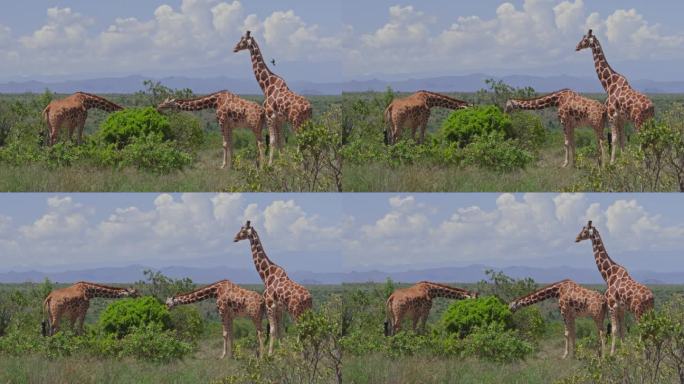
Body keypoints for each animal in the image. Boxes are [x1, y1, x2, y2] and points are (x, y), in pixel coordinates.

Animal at [232, 29, 312, 163]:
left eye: (242, 40)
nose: (234, 48)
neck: (267, 86)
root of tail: (310, 108)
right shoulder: (279, 119)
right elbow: (281, 142)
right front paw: (283, 163)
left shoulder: (269, 117)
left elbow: (273, 141)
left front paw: (270, 165)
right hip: (306, 121)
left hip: (296, 121)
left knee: (301, 141)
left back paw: (300, 163)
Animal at [232, 220, 312, 356]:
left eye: (242, 230)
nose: (234, 238)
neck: (266, 276)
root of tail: (309, 298)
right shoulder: (279, 309)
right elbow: (280, 331)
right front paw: (283, 352)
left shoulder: (270, 305)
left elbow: (273, 330)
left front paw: (270, 355)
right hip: (305, 311)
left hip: (295, 311)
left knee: (301, 330)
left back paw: (299, 353)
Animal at [576, 29, 656, 163]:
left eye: (585, 39)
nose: (576, 47)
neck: (609, 85)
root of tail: (651, 107)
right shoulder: (621, 119)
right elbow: (622, 140)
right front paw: (624, 161)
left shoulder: (611, 116)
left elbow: (614, 140)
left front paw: (612, 162)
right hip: (649, 121)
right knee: (651, 140)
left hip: (638, 121)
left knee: (643, 140)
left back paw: (642, 161)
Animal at [576, 220, 656, 356]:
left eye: (585, 231)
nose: (576, 238)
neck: (608, 275)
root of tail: (651, 298)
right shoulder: (621, 308)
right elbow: (622, 330)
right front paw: (624, 352)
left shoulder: (611, 305)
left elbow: (614, 330)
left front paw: (612, 354)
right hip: (649, 311)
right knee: (651, 329)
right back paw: (651, 353)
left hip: (638, 311)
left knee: (643, 330)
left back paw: (642, 353)